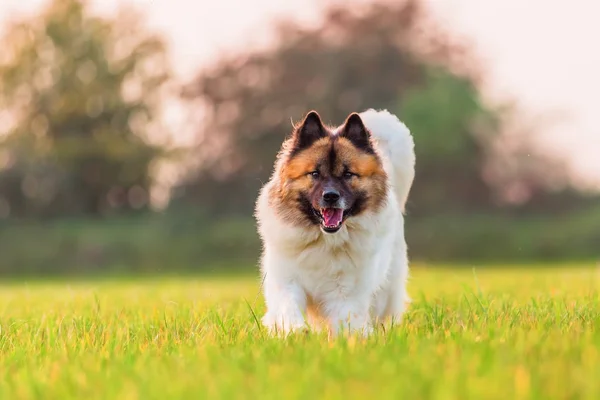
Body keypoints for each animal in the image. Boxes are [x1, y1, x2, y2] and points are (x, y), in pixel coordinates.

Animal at [255, 108, 414, 334]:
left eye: (348, 174)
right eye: (314, 173)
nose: (331, 196)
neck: (323, 241)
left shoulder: (346, 292)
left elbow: (346, 320)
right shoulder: (286, 280)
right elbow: (288, 307)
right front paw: (296, 331)